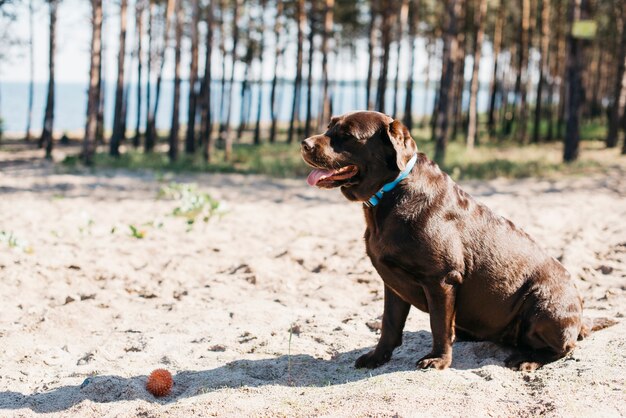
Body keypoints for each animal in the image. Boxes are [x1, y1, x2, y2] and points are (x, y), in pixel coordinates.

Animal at [298, 110, 608, 370]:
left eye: (348, 135)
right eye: (329, 127)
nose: (304, 143)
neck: (390, 191)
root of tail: (580, 316)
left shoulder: (441, 278)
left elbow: (439, 324)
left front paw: (438, 359)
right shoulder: (392, 282)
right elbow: (389, 324)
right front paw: (377, 357)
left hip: (543, 304)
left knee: (564, 347)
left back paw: (528, 359)